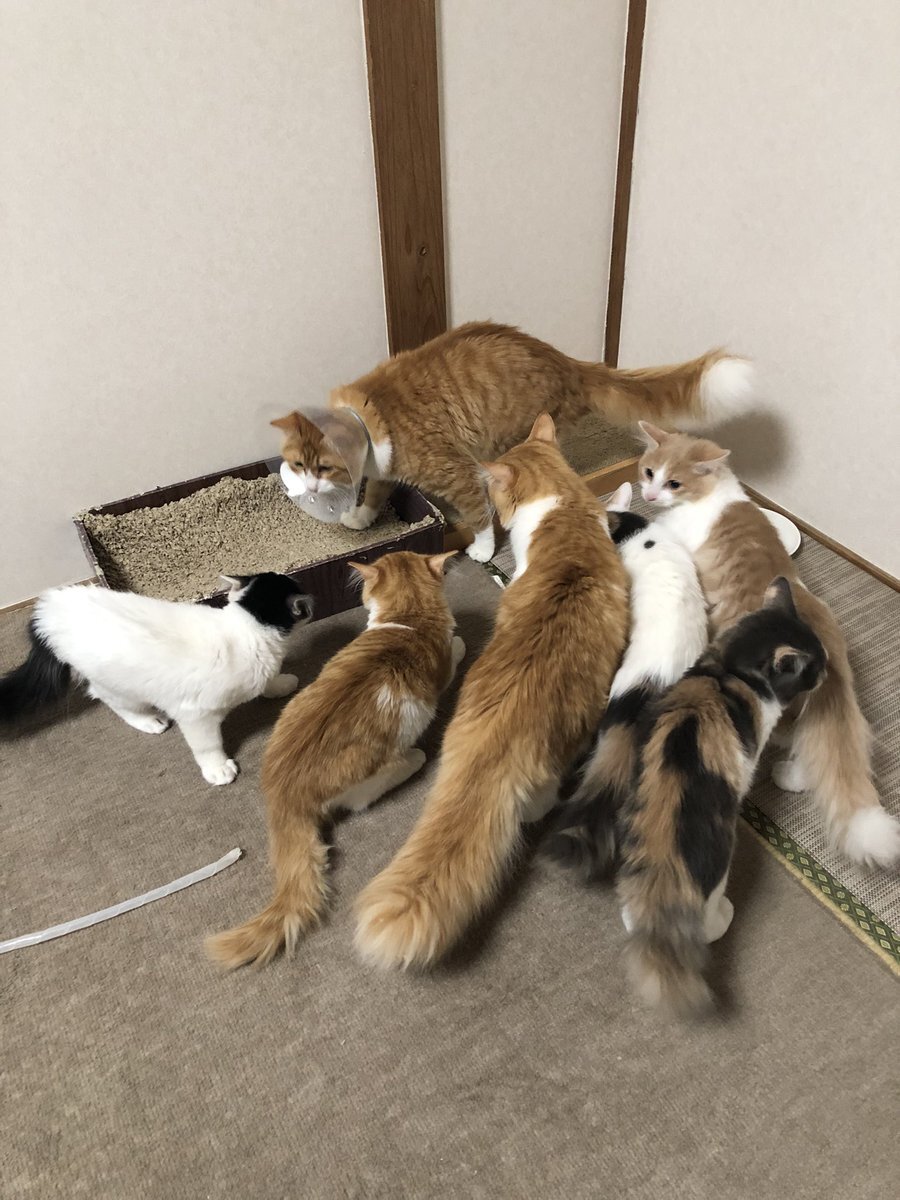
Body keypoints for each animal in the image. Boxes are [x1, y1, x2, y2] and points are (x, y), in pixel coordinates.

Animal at [0, 574, 312, 785]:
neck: (246, 629)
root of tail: (48, 608)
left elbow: (269, 682)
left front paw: (280, 684)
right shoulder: (195, 714)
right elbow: (207, 745)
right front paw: (217, 768)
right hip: (119, 687)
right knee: (108, 698)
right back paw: (148, 721)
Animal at [206, 550, 465, 969]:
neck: (408, 620)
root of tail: (284, 793)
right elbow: (456, 649)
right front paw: (459, 642)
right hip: (378, 768)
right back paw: (413, 757)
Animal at [272, 321, 754, 563]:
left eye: (324, 467)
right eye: (298, 465)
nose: (308, 488)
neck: (372, 419)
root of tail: (569, 362)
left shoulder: (455, 473)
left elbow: (479, 516)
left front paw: (482, 550)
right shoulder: (386, 471)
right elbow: (374, 494)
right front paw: (360, 517)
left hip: (504, 441)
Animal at [616, 578, 827, 1016]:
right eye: (814, 667)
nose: (829, 669)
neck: (730, 670)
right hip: (717, 871)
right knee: (707, 922)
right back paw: (723, 917)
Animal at [636, 421, 900, 867]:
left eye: (674, 483)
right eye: (649, 472)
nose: (651, 495)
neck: (714, 494)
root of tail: (826, 648)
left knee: (789, 737)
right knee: (808, 748)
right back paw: (791, 777)